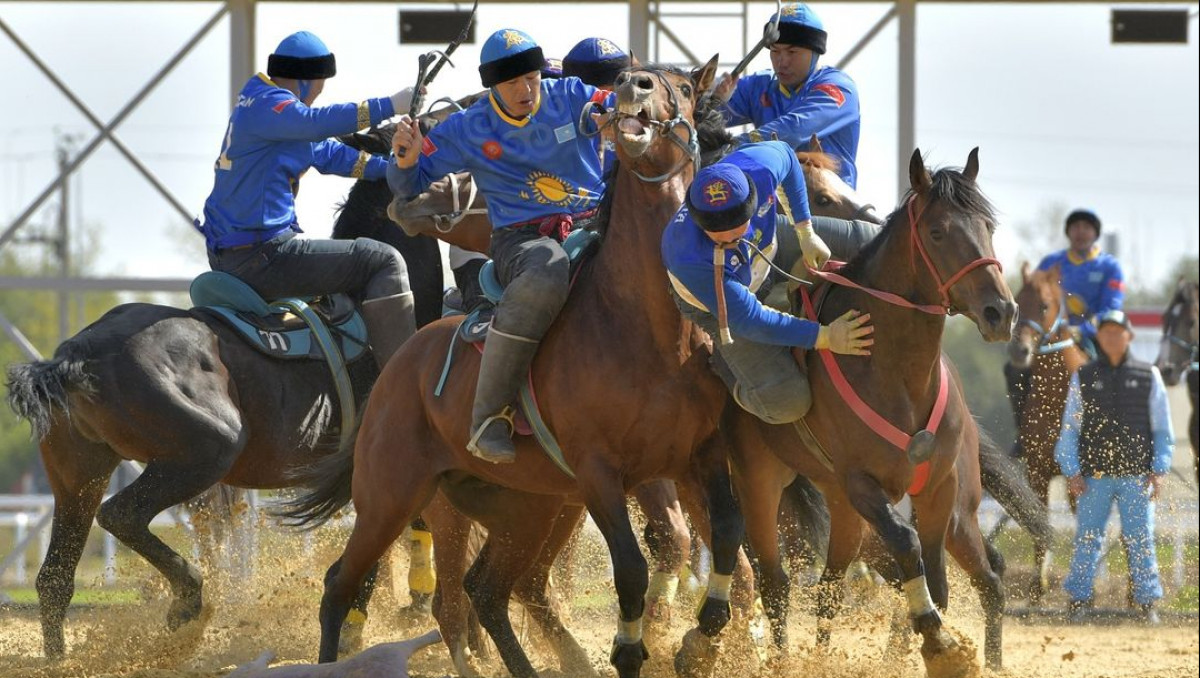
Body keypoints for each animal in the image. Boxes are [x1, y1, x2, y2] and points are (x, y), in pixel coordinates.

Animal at [4, 176, 446, 662]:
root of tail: (78, 354)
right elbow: (373, 552)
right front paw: (366, 625)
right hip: (206, 452)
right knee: (121, 515)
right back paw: (188, 604)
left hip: (78, 475)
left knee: (56, 578)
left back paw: (60, 657)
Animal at [282, 58, 758, 676]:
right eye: (635, 75)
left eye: (681, 87)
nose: (631, 86)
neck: (646, 325)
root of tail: (399, 364)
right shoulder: (599, 473)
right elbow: (631, 571)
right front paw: (635, 648)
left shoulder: (700, 455)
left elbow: (726, 538)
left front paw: (701, 640)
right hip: (393, 496)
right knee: (346, 586)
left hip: (524, 508)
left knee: (489, 590)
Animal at [724, 149, 1017, 676]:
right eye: (937, 231)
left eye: (988, 226)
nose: (1000, 312)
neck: (898, 375)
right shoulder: (862, 484)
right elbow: (907, 545)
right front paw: (935, 637)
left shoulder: (940, 488)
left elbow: (936, 576)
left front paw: (936, 645)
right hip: (764, 484)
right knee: (777, 583)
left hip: (883, 505)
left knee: (839, 585)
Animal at [1003, 260, 1089, 602]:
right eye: (1017, 302)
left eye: (1043, 305)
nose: (1019, 350)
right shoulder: (1037, 471)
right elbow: (1039, 524)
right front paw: (1037, 586)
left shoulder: (1076, 477)